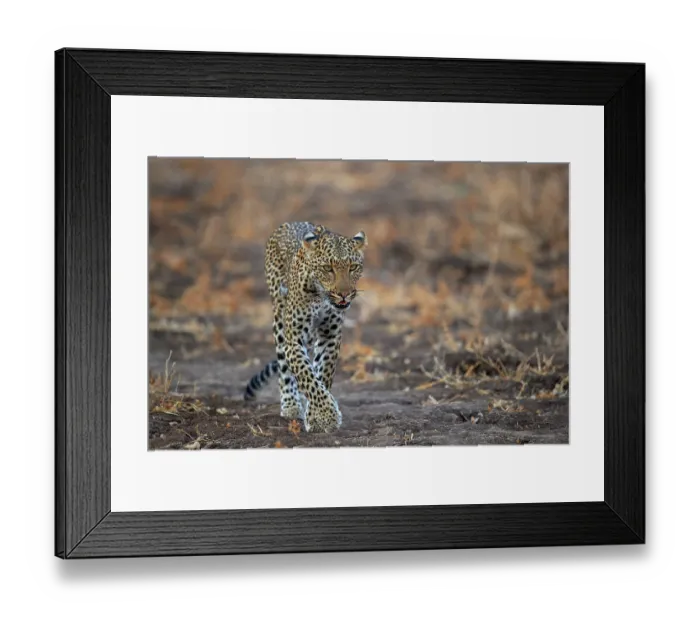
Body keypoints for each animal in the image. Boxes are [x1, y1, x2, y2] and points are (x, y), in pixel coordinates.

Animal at [243, 222, 367, 433]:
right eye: (327, 268)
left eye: (353, 267)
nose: (344, 294)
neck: (320, 297)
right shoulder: (294, 339)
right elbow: (307, 376)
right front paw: (325, 415)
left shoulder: (330, 336)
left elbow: (322, 374)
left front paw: (317, 415)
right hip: (280, 318)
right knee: (284, 368)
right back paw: (291, 405)